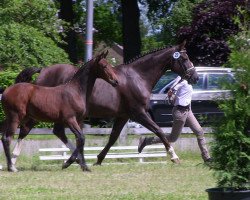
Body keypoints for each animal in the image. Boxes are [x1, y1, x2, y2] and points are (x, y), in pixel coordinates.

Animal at [10, 41, 198, 167]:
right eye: (184, 57)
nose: (195, 77)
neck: (137, 77)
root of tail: (43, 71)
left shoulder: (123, 116)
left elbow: (113, 137)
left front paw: (99, 160)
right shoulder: (138, 113)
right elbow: (159, 130)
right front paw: (174, 156)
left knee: (58, 132)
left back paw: (74, 159)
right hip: (42, 112)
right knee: (26, 129)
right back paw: (13, 159)